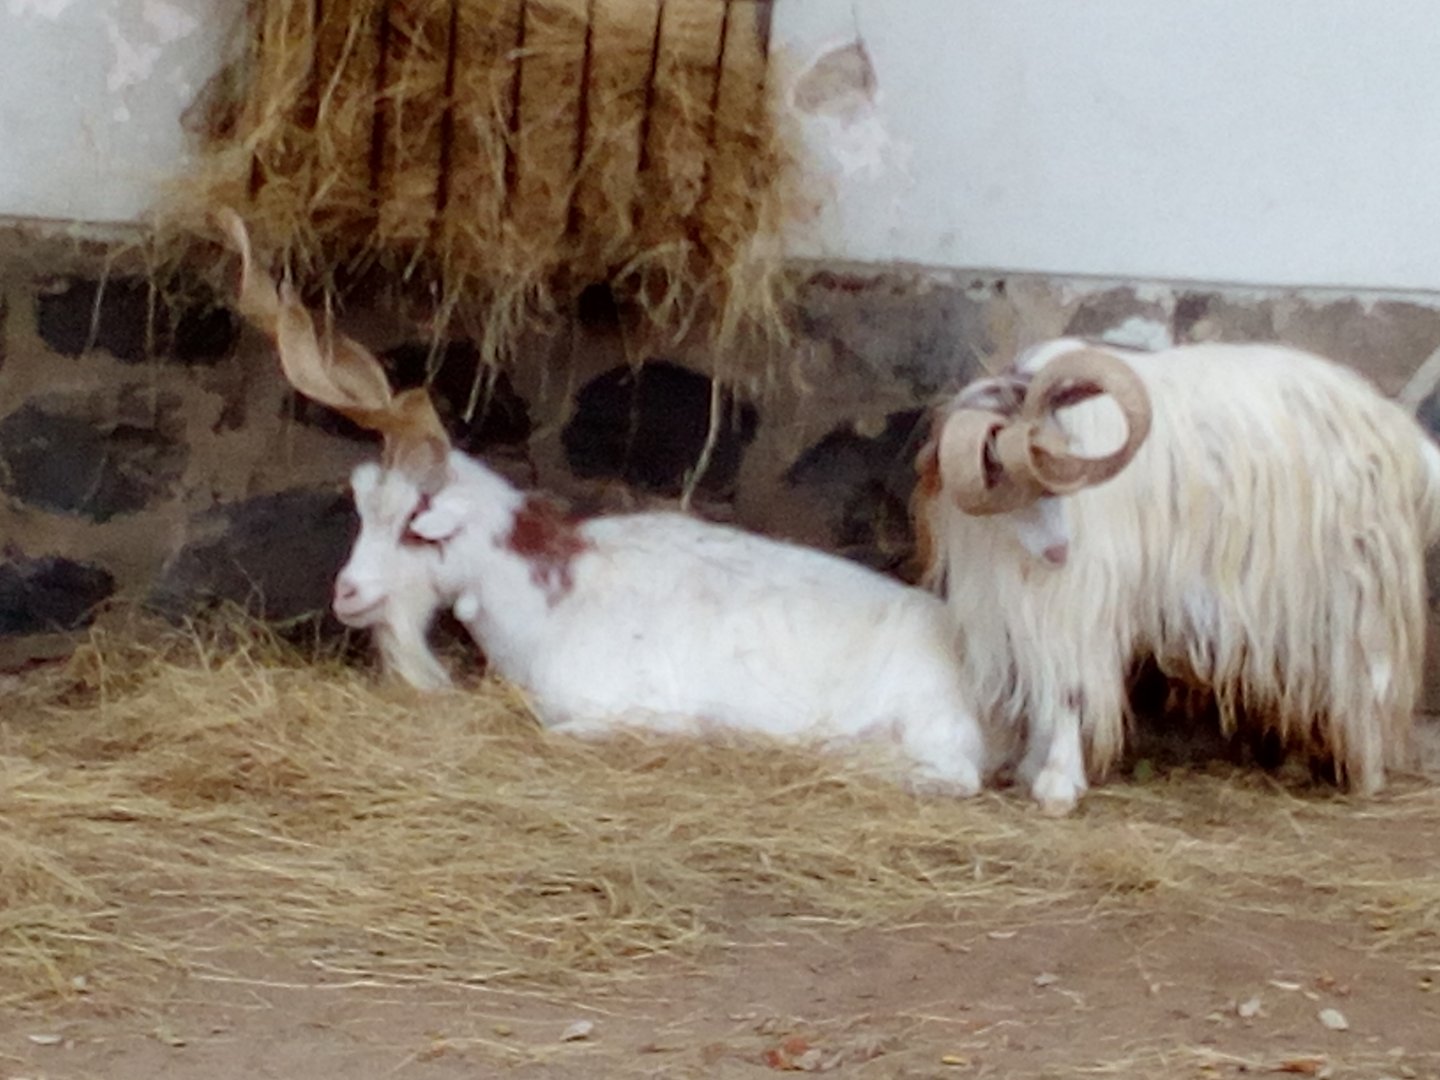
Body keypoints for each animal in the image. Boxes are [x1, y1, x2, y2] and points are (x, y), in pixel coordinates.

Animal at [915, 336, 1440, 815]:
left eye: (1063, 459)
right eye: (998, 471)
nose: (1061, 550)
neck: (1009, 542)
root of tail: (1399, 433)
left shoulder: (1081, 597)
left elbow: (1069, 687)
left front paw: (1059, 784)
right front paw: (1034, 767)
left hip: (1358, 585)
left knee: (1370, 676)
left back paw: (1366, 776)